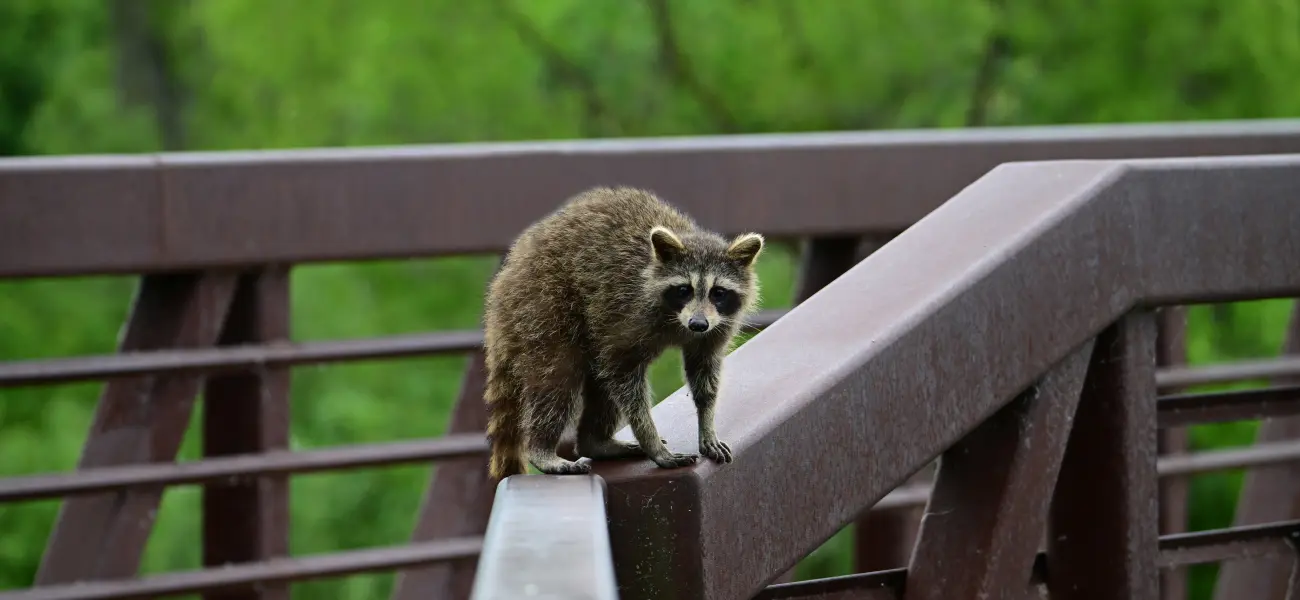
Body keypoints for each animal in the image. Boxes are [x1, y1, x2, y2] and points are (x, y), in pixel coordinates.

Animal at [482, 186, 764, 478]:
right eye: (684, 289)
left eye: (718, 292)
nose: (698, 324)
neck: (678, 321)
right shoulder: (629, 312)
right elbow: (624, 376)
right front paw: (651, 440)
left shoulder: (718, 325)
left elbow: (704, 374)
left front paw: (707, 424)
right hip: (542, 306)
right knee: (558, 378)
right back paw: (543, 450)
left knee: (598, 382)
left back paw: (596, 442)